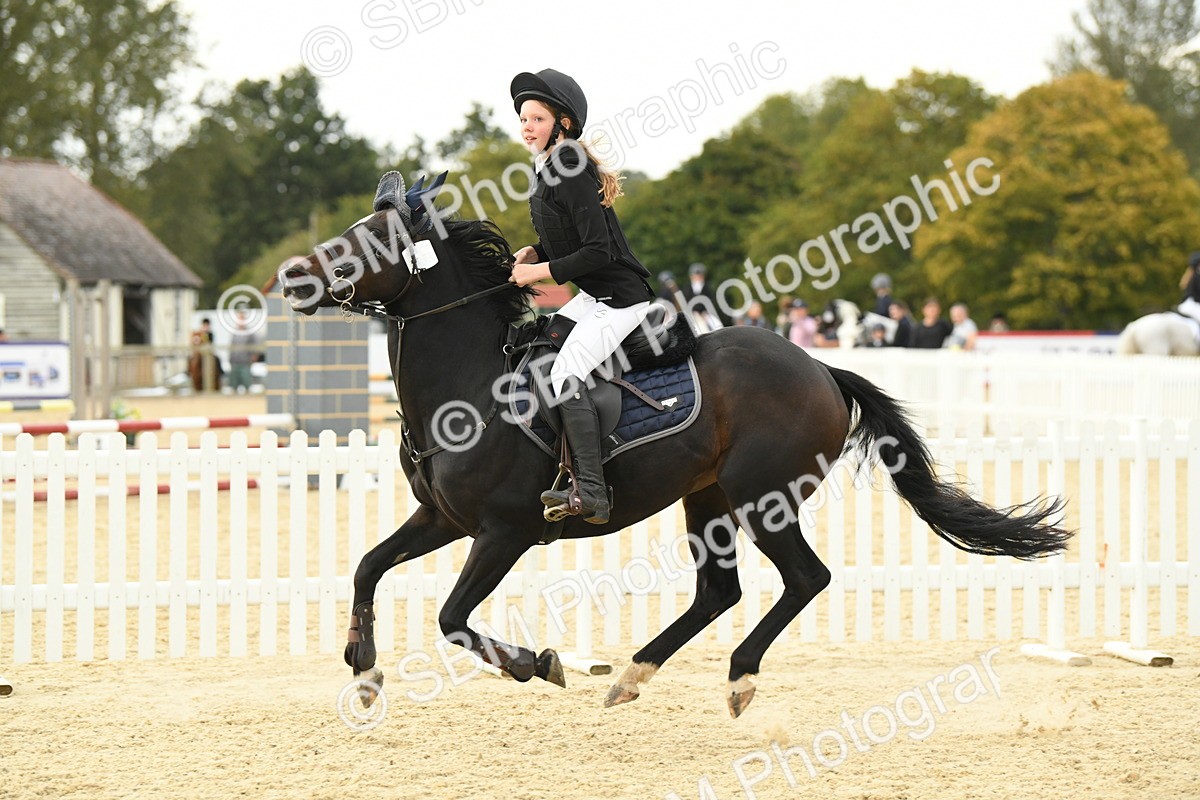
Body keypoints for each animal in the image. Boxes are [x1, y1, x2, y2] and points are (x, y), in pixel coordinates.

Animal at [277, 187, 1072, 718]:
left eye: (373, 241)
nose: (289, 276)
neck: (469, 386)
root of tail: (819, 368)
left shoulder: (503, 532)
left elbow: (451, 618)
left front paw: (538, 664)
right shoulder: (443, 519)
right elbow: (368, 566)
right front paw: (364, 672)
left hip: (761, 498)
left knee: (805, 578)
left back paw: (739, 677)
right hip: (706, 499)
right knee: (720, 591)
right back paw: (632, 675)